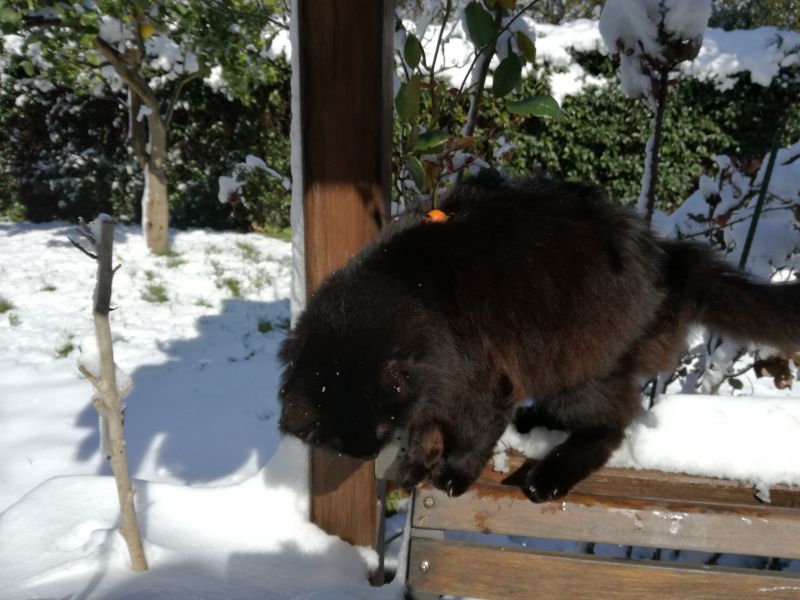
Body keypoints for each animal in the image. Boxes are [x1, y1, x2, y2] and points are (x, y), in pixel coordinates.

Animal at [277, 175, 800, 502]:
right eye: (344, 442)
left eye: (380, 429)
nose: (367, 453)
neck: (407, 292)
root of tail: (668, 257)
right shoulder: (432, 393)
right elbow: (428, 433)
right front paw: (415, 468)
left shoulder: (474, 384)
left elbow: (468, 439)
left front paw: (452, 476)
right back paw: (531, 422)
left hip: (580, 371)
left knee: (614, 424)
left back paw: (548, 477)